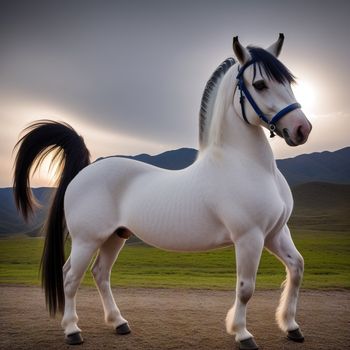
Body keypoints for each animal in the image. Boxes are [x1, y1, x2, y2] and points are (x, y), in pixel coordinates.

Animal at [13, 33, 312, 350]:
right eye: (260, 84)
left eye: (288, 81)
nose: (302, 129)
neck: (247, 165)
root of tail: (85, 171)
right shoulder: (249, 237)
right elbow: (245, 288)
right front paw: (243, 334)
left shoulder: (275, 233)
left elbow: (297, 269)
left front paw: (291, 327)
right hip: (87, 240)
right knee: (70, 277)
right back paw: (72, 330)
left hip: (114, 237)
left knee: (100, 274)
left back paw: (119, 323)